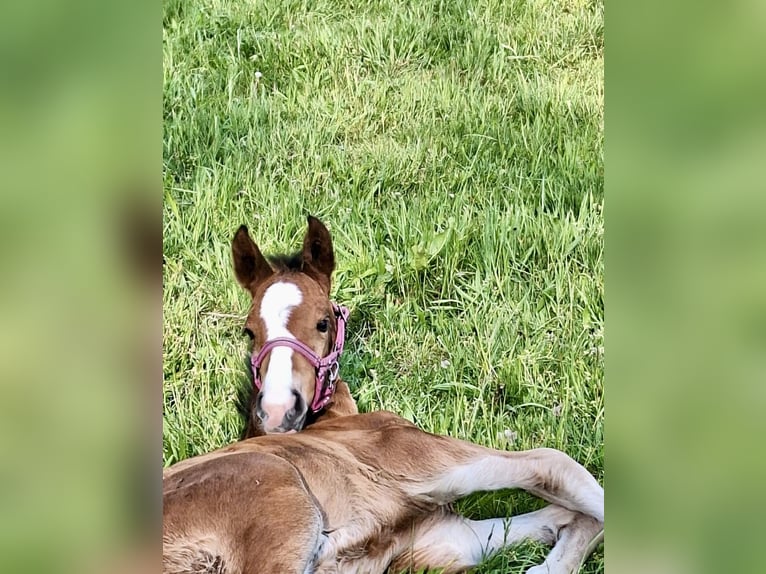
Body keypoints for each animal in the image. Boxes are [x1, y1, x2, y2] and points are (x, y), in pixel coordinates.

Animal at [162, 216, 604, 574]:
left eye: (322, 322)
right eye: (250, 331)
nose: (277, 409)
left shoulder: (445, 538)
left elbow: (562, 516)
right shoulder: (422, 457)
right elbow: (559, 467)